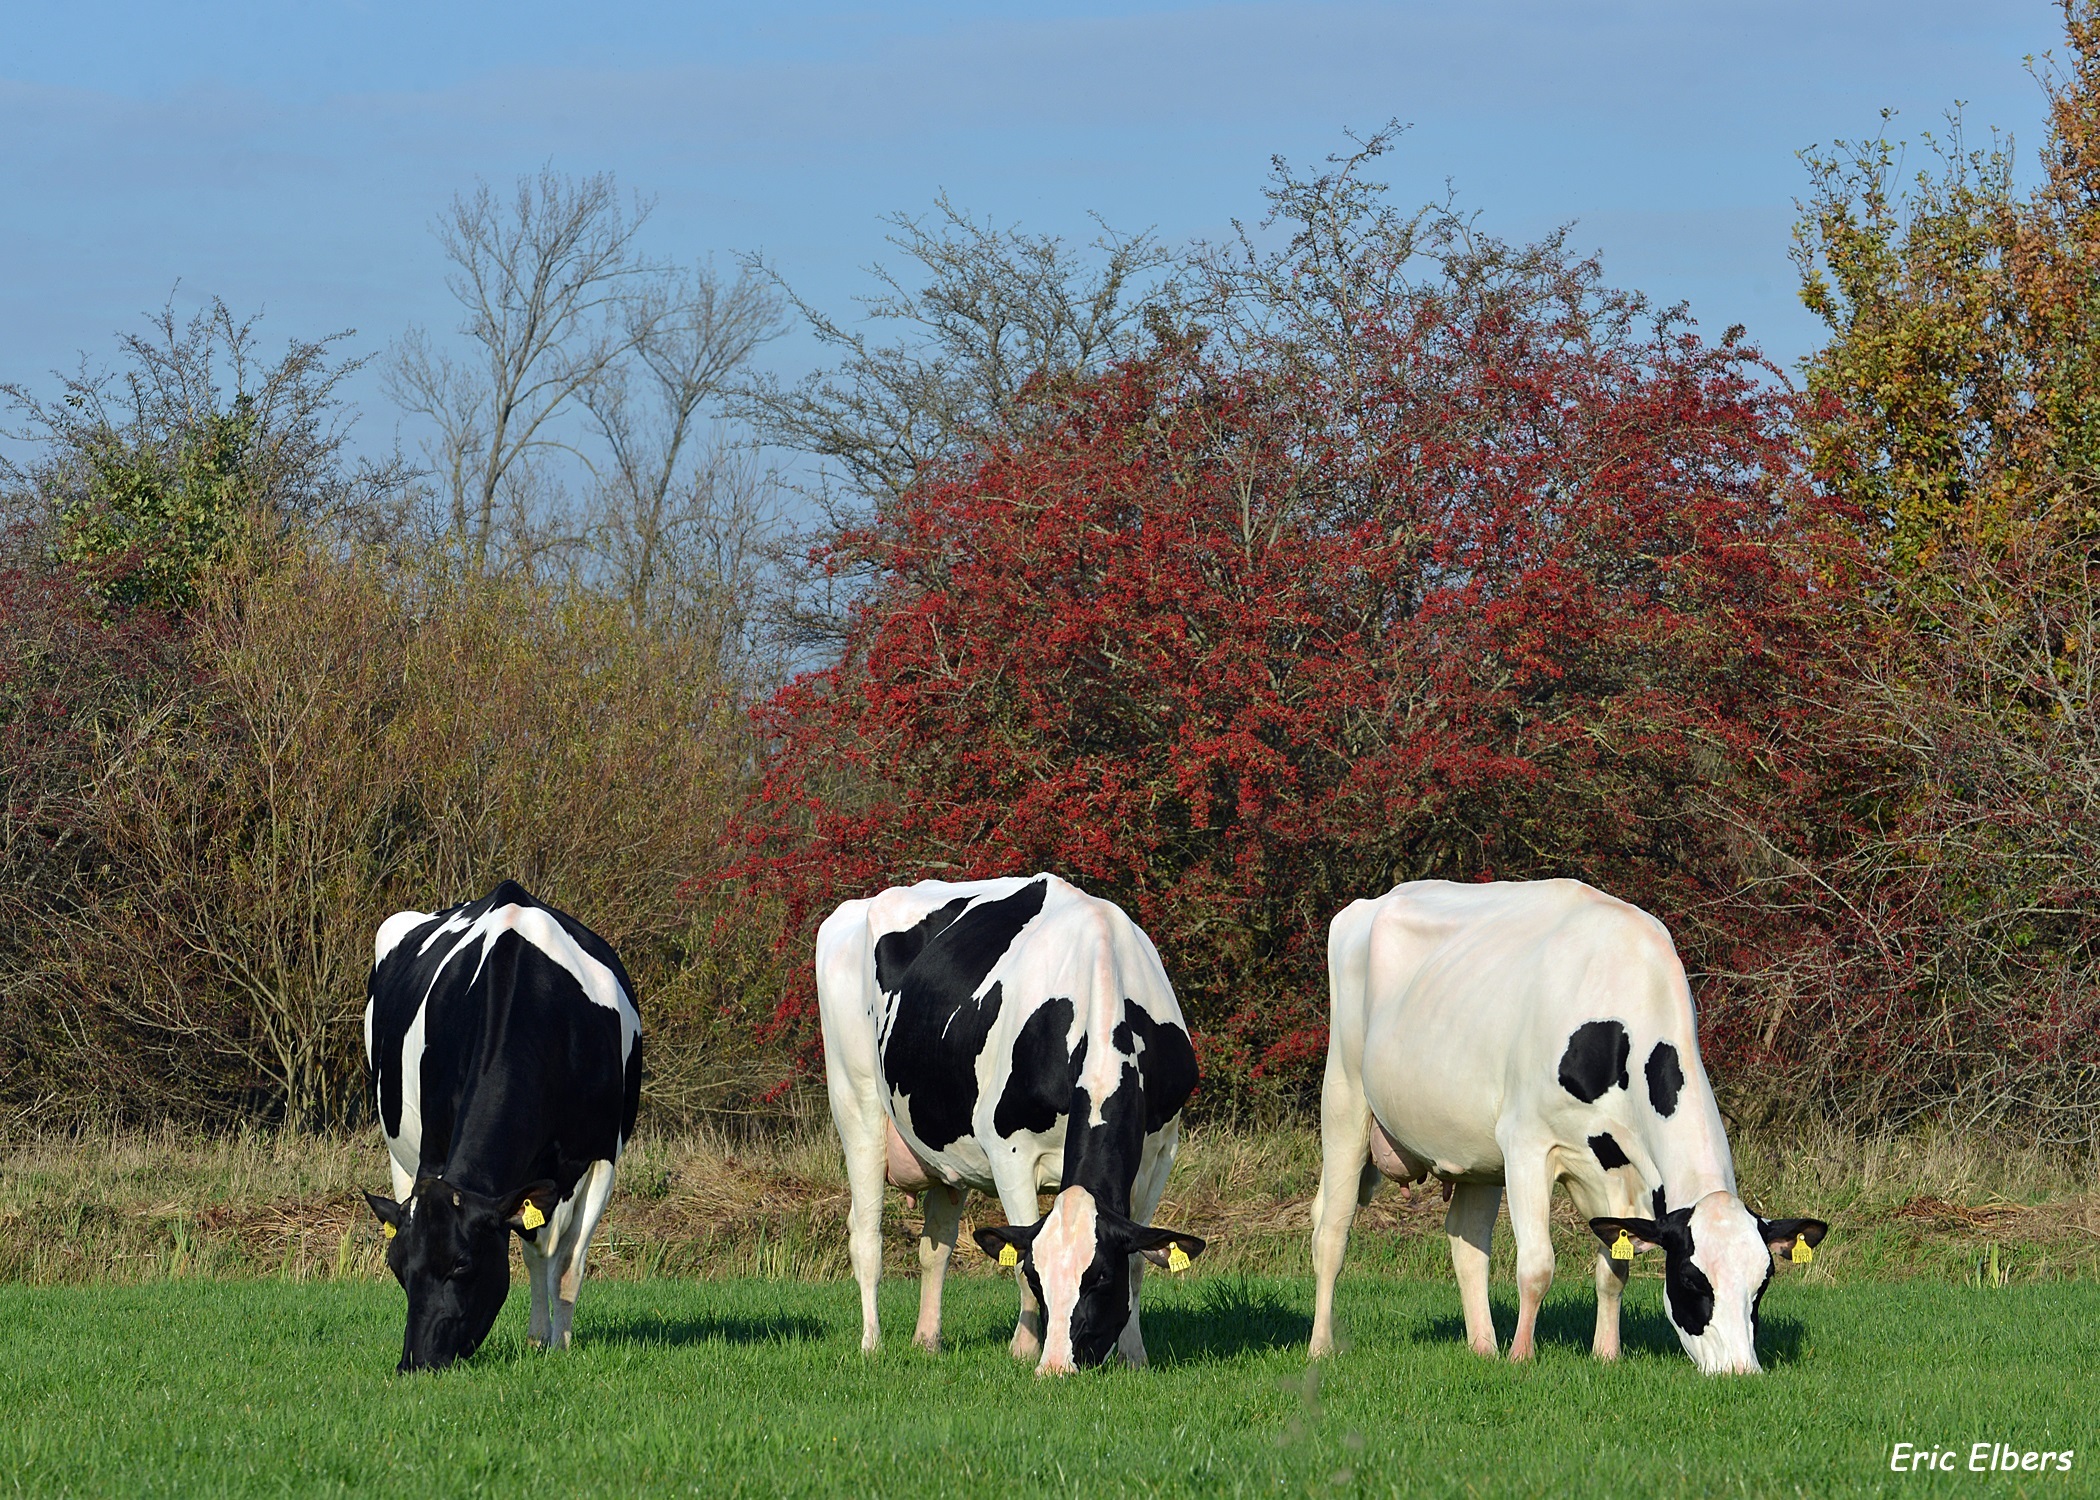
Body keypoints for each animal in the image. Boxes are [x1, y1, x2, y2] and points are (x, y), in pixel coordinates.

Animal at [361, 878, 638, 1369]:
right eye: (397, 1268)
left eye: (462, 1263)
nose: (415, 1362)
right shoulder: (434, 1149)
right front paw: (542, 1339)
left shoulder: (599, 1156)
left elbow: (563, 1263)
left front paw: (557, 1345)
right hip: (398, 1152)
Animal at [818, 869, 1218, 1369]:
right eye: (1039, 1277)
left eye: (1101, 1278)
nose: (1058, 1365)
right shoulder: (1008, 1150)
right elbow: (1018, 1253)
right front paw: (1025, 1350)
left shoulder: (1160, 1151)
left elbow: (1142, 1259)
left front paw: (1134, 1355)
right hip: (856, 1104)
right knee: (866, 1235)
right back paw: (872, 1344)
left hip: (943, 1144)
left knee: (936, 1246)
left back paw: (927, 1340)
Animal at [1310, 869, 1822, 1369]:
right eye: (1693, 1281)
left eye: (1762, 1285)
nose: (1742, 1371)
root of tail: (1373, 901)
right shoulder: (1526, 1144)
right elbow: (1537, 1265)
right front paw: (1521, 1357)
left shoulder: (1617, 1170)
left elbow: (1615, 1268)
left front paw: (1606, 1355)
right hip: (1344, 1099)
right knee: (1331, 1232)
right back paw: (1321, 1346)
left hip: (1474, 1150)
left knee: (1467, 1240)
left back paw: (1483, 1347)